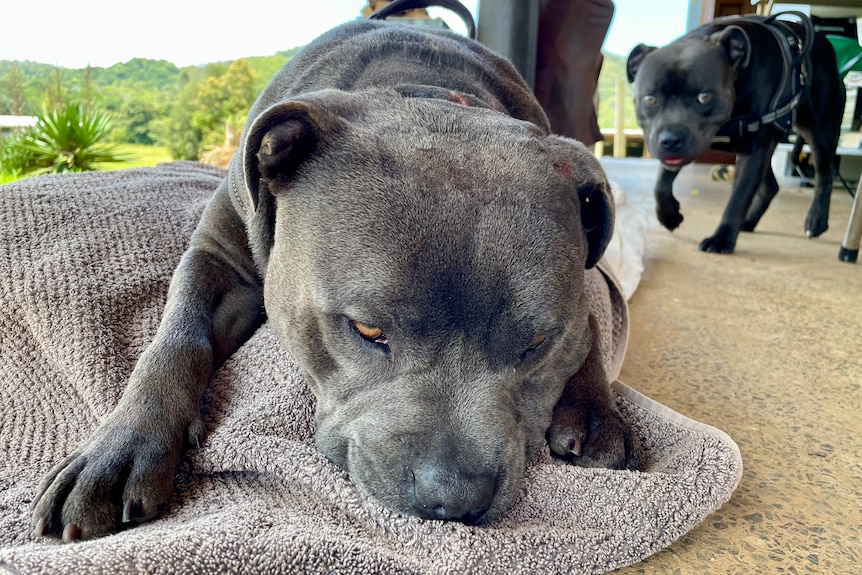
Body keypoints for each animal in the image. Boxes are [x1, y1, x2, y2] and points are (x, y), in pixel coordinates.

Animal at [30, 13, 636, 544]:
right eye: (367, 331)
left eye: (537, 343)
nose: (456, 496)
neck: (425, 94)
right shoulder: (217, 259)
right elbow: (177, 337)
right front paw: (120, 446)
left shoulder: (586, 284)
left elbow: (591, 326)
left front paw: (595, 407)